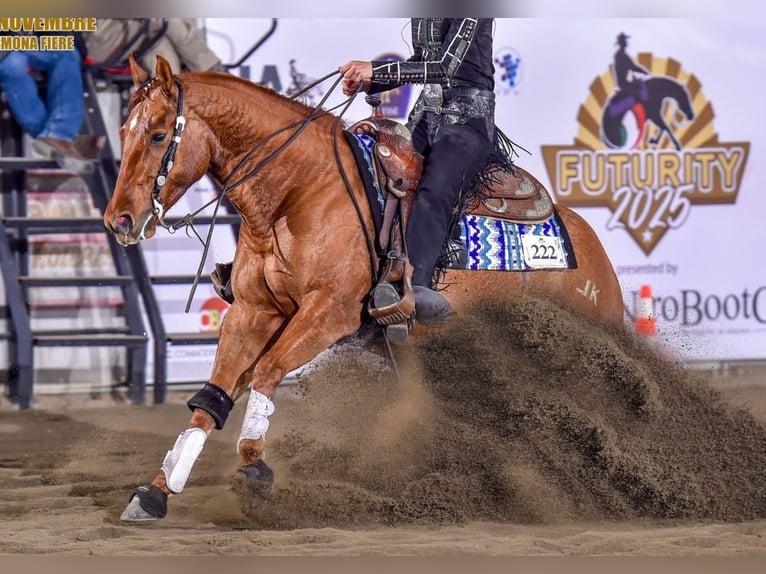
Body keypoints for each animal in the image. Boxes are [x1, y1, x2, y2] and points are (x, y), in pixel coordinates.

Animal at [103, 54, 624, 521]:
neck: (300, 191)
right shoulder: (253, 311)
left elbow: (268, 371)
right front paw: (155, 492)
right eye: (123, 132)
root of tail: (594, 254)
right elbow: (212, 397)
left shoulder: (328, 314)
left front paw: (254, 467)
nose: (119, 220)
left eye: (157, 134)